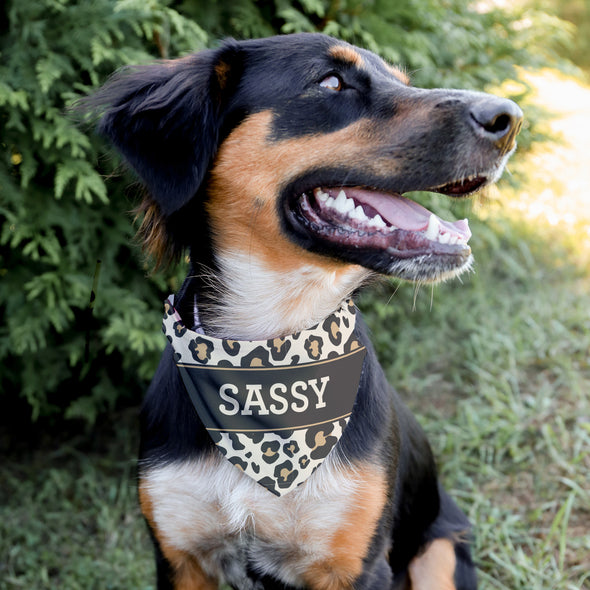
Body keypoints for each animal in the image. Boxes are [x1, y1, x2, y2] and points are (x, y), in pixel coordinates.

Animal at [88, 33, 524, 590]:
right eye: (331, 82)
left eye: (403, 82)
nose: (510, 118)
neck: (269, 352)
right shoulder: (180, 557)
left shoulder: (358, 565)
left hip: (441, 551)